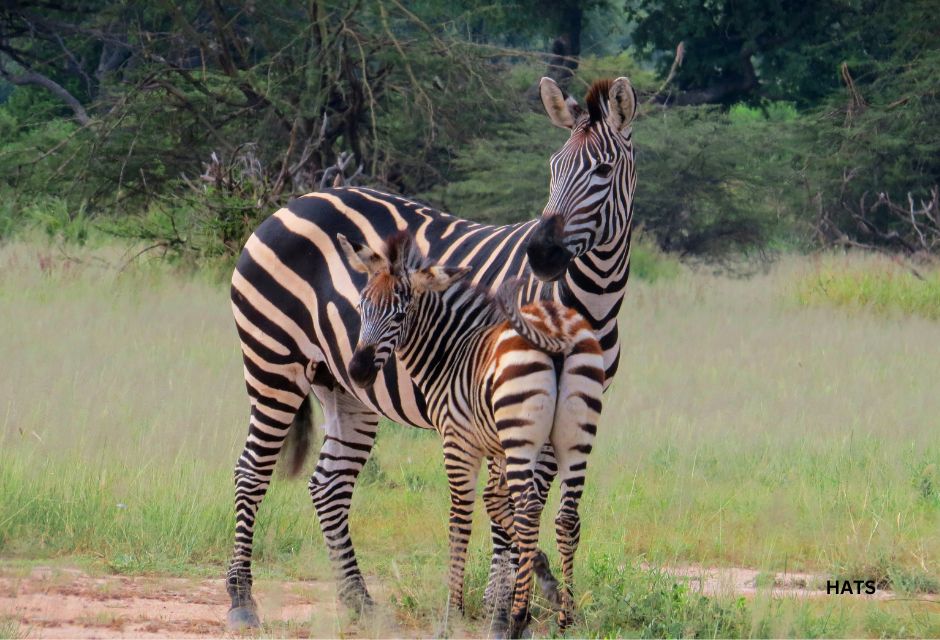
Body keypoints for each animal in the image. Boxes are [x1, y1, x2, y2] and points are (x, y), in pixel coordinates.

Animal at [338, 230, 604, 636]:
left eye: (399, 313)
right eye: (361, 306)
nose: (358, 372)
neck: (452, 352)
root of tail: (555, 328)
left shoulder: (459, 442)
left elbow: (461, 519)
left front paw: (454, 610)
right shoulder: (497, 447)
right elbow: (496, 504)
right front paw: (543, 576)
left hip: (523, 437)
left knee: (529, 510)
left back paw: (517, 619)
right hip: (574, 437)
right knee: (567, 516)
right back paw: (565, 617)